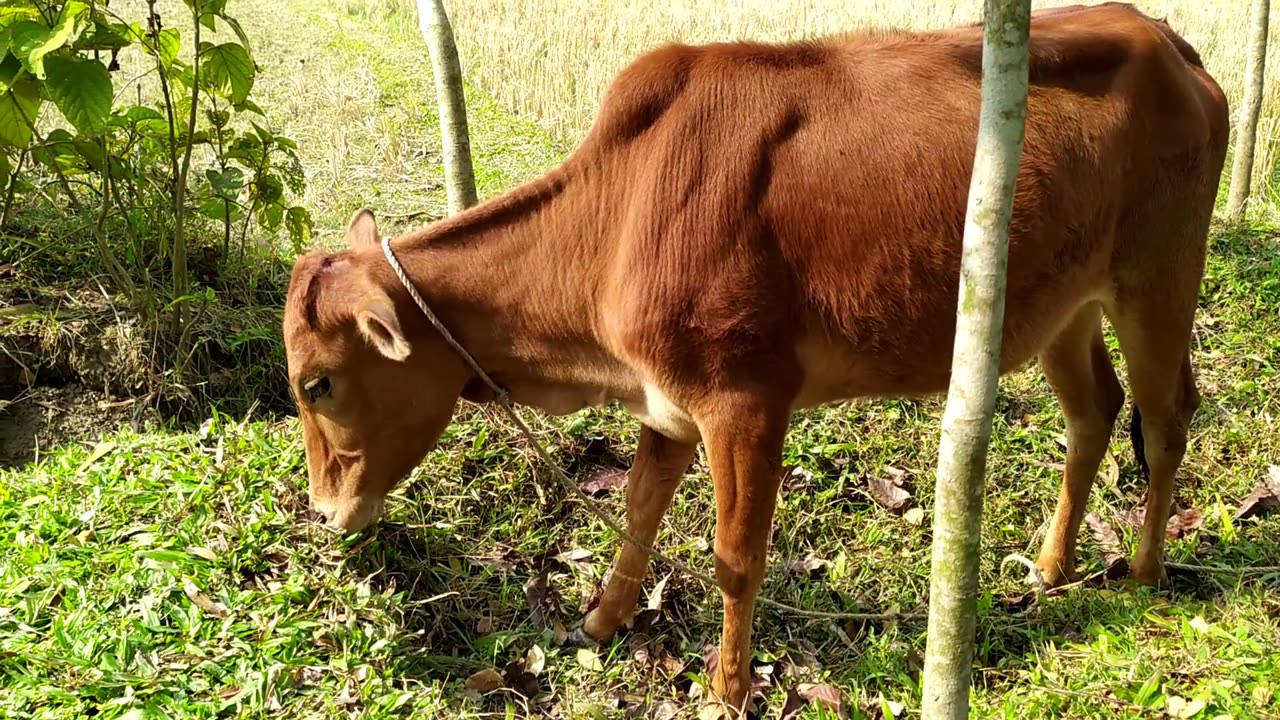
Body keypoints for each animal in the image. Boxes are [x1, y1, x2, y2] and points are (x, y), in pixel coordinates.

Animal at [282, 4, 1228, 712]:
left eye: (318, 383)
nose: (325, 514)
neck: (617, 220)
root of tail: (1167, 40)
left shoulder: (745, 405)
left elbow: (736, 560)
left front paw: (727, 689)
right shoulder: (666, 404)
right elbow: (637, 513)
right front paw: (601, 621)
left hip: (1159, 278)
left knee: (1168, 415)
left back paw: (1143, 571)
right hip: (1061, 306)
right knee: (1095, 413)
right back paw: (1052, 563)